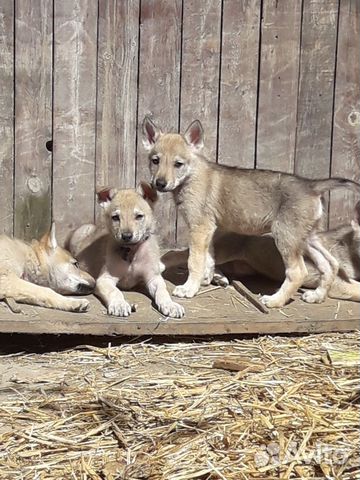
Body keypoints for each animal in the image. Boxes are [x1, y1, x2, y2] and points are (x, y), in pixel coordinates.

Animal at [69, 182, 184, 316]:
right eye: (115, 217)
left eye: (139, 216)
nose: (127, 236)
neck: (132, 251)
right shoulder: (105, 279)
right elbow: (115, 291)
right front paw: (119, 304)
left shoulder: (153, 277)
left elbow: (162, 290)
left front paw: (170, 305)